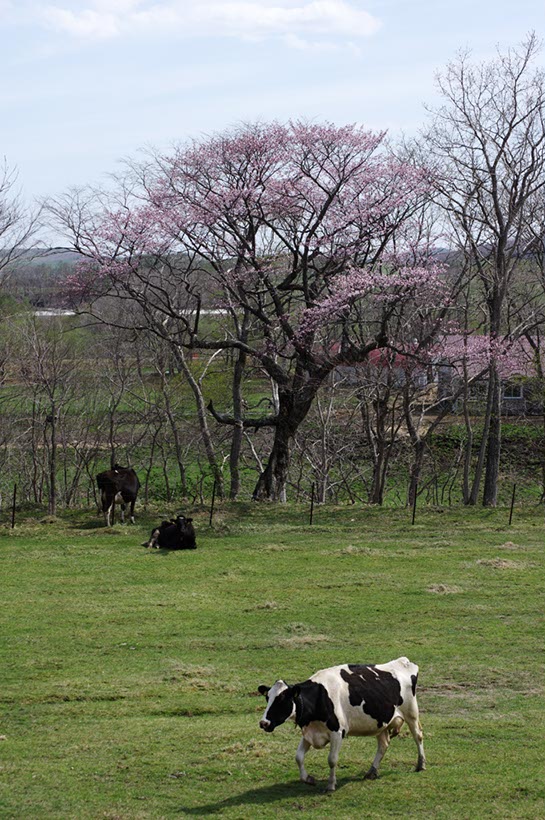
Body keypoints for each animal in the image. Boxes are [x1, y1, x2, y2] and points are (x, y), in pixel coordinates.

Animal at [258, 656, 424, 792]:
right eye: (267, 698)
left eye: (281, 699)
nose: (263, 723)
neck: (320, 697)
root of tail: (403, 661)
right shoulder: (309, 732)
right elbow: (298, 757)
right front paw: (308, 779)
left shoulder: (337, 732)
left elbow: (332, 760)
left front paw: (331, 785)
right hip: (381, 722)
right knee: (383, 744)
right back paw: (371, 771)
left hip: (411, 713)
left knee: (418, 736)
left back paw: (420, 764)